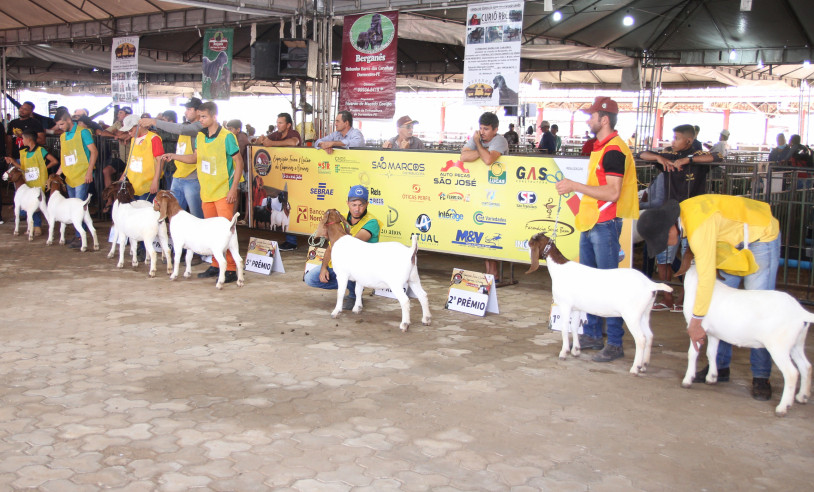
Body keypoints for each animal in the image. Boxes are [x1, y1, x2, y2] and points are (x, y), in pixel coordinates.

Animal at [524, 233, 672, 374]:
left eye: (531, 242)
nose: (525, 244)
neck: (559, 268)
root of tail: (650, 285)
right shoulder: (576, 308)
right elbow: (574, 327)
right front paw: (576, 350)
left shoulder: (565, 305)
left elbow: (565, 328)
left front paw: (564, 352)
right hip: (644, 314)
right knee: (649, 336)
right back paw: (644, 365)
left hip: (632, 316)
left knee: (641, 339)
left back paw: (635, 367)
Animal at [684, 264, 808, 418]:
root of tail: (801, 313)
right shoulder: (713, 333)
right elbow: (711, 353)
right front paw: (711, 377)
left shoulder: (696, 327)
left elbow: (692, 353)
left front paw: (687, 379)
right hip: (796, 344)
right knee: (806, 366)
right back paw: (802, 396)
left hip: (779, 346)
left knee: (791, 373)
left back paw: (782, 407)